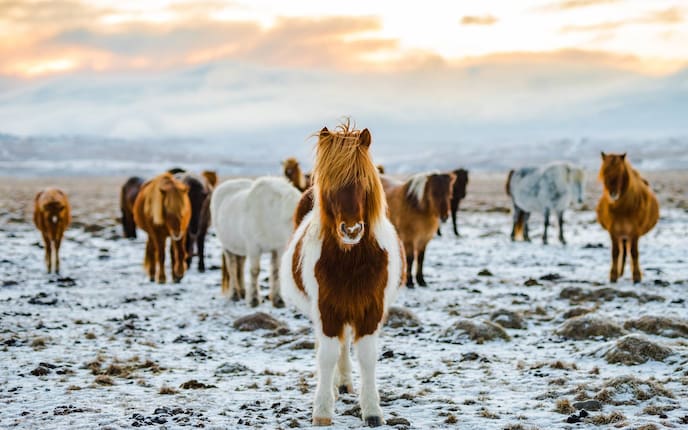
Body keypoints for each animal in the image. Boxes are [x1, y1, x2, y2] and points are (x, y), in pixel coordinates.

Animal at [211, 176, 300, 307]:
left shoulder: (278, 247)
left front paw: (278, 300)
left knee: (240, 265)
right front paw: (254, 300)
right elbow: (255, 271)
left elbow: (276, 271)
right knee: (232, 266)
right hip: (227, 246)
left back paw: (243, 292)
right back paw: (234, 295)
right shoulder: (254, 247)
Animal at [280, 122, 404, 427]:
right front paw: (323, 410)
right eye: (330, 185)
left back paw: (345, 384)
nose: (351, 230)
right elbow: (326, 355)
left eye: (364, 181)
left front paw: (372, 410)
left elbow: (367, 356)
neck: (351, 261)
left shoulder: (370, 309)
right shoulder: (327, 309)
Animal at [596, 152, 659, 283]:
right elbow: (615, 252)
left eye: (621, 172)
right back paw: (620, 273)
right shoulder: (613, 232)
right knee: (623, 250)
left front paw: (637, 277)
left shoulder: (635, 232)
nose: (613, 194)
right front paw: (613, 276)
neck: (623, 210)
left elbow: (634, 253)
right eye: (604, 172)